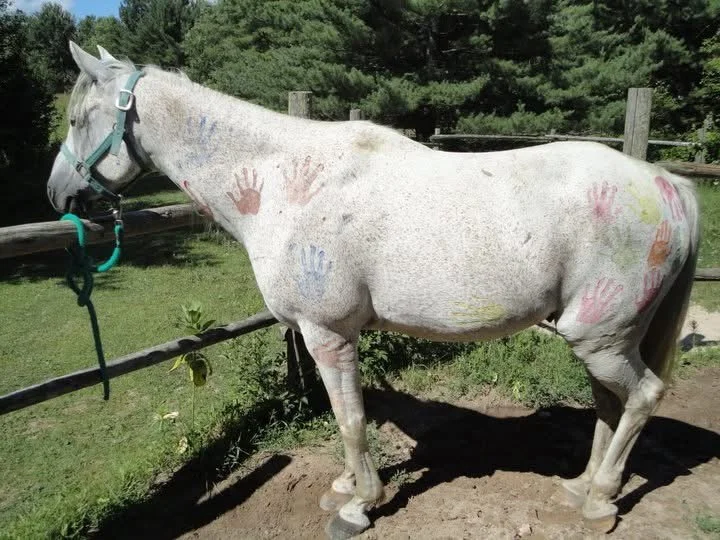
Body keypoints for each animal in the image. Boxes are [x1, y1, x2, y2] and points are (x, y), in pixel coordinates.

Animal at [47, 42, 700, 538]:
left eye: (78, 120)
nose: (58, 196)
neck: (285, 182)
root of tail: (665, 184)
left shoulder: (328, 334)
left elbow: (351, 419)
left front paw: (360, 504)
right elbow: (347, 417)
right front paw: (345, 485)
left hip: (599, 338)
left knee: (643, 396)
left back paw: (602, 499)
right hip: (603, 339)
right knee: (610, 404)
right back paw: (581, 486)